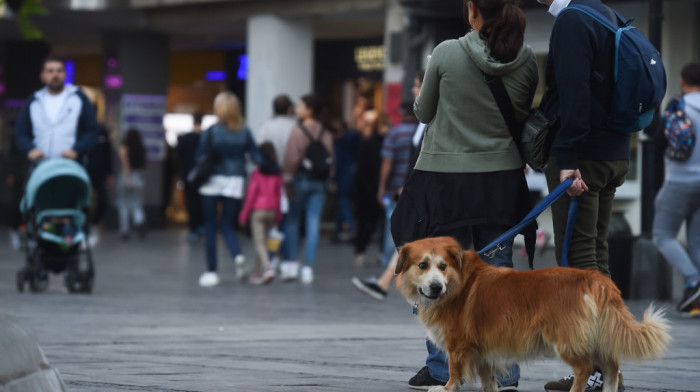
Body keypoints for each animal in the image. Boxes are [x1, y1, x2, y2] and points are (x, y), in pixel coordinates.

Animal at [396, 236, 668, 392]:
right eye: (423, 265)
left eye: (442, 266)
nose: (435, 287)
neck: (458, 283)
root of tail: (593, 278)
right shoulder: (483, 351)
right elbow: (487, 379)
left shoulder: (458, 345)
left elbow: (453, 370)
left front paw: (447, 387)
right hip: (598, 335)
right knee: (611, 366)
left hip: (567, 339)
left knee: (585, 368)